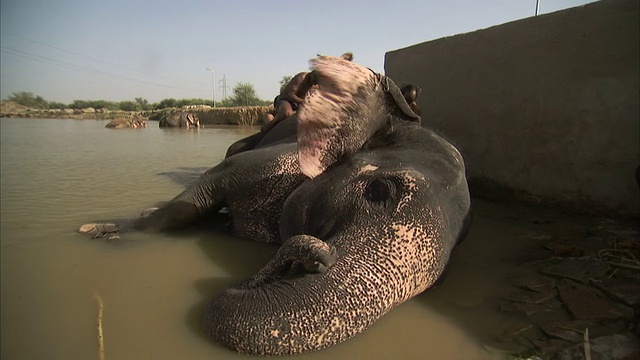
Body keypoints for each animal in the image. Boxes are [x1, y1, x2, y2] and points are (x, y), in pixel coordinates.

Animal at [80, 55, 472, 354]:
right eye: (379, 190)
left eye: (437, 282)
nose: (317, 255)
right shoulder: (274, 158)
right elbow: (204, 190)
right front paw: (102, 230)